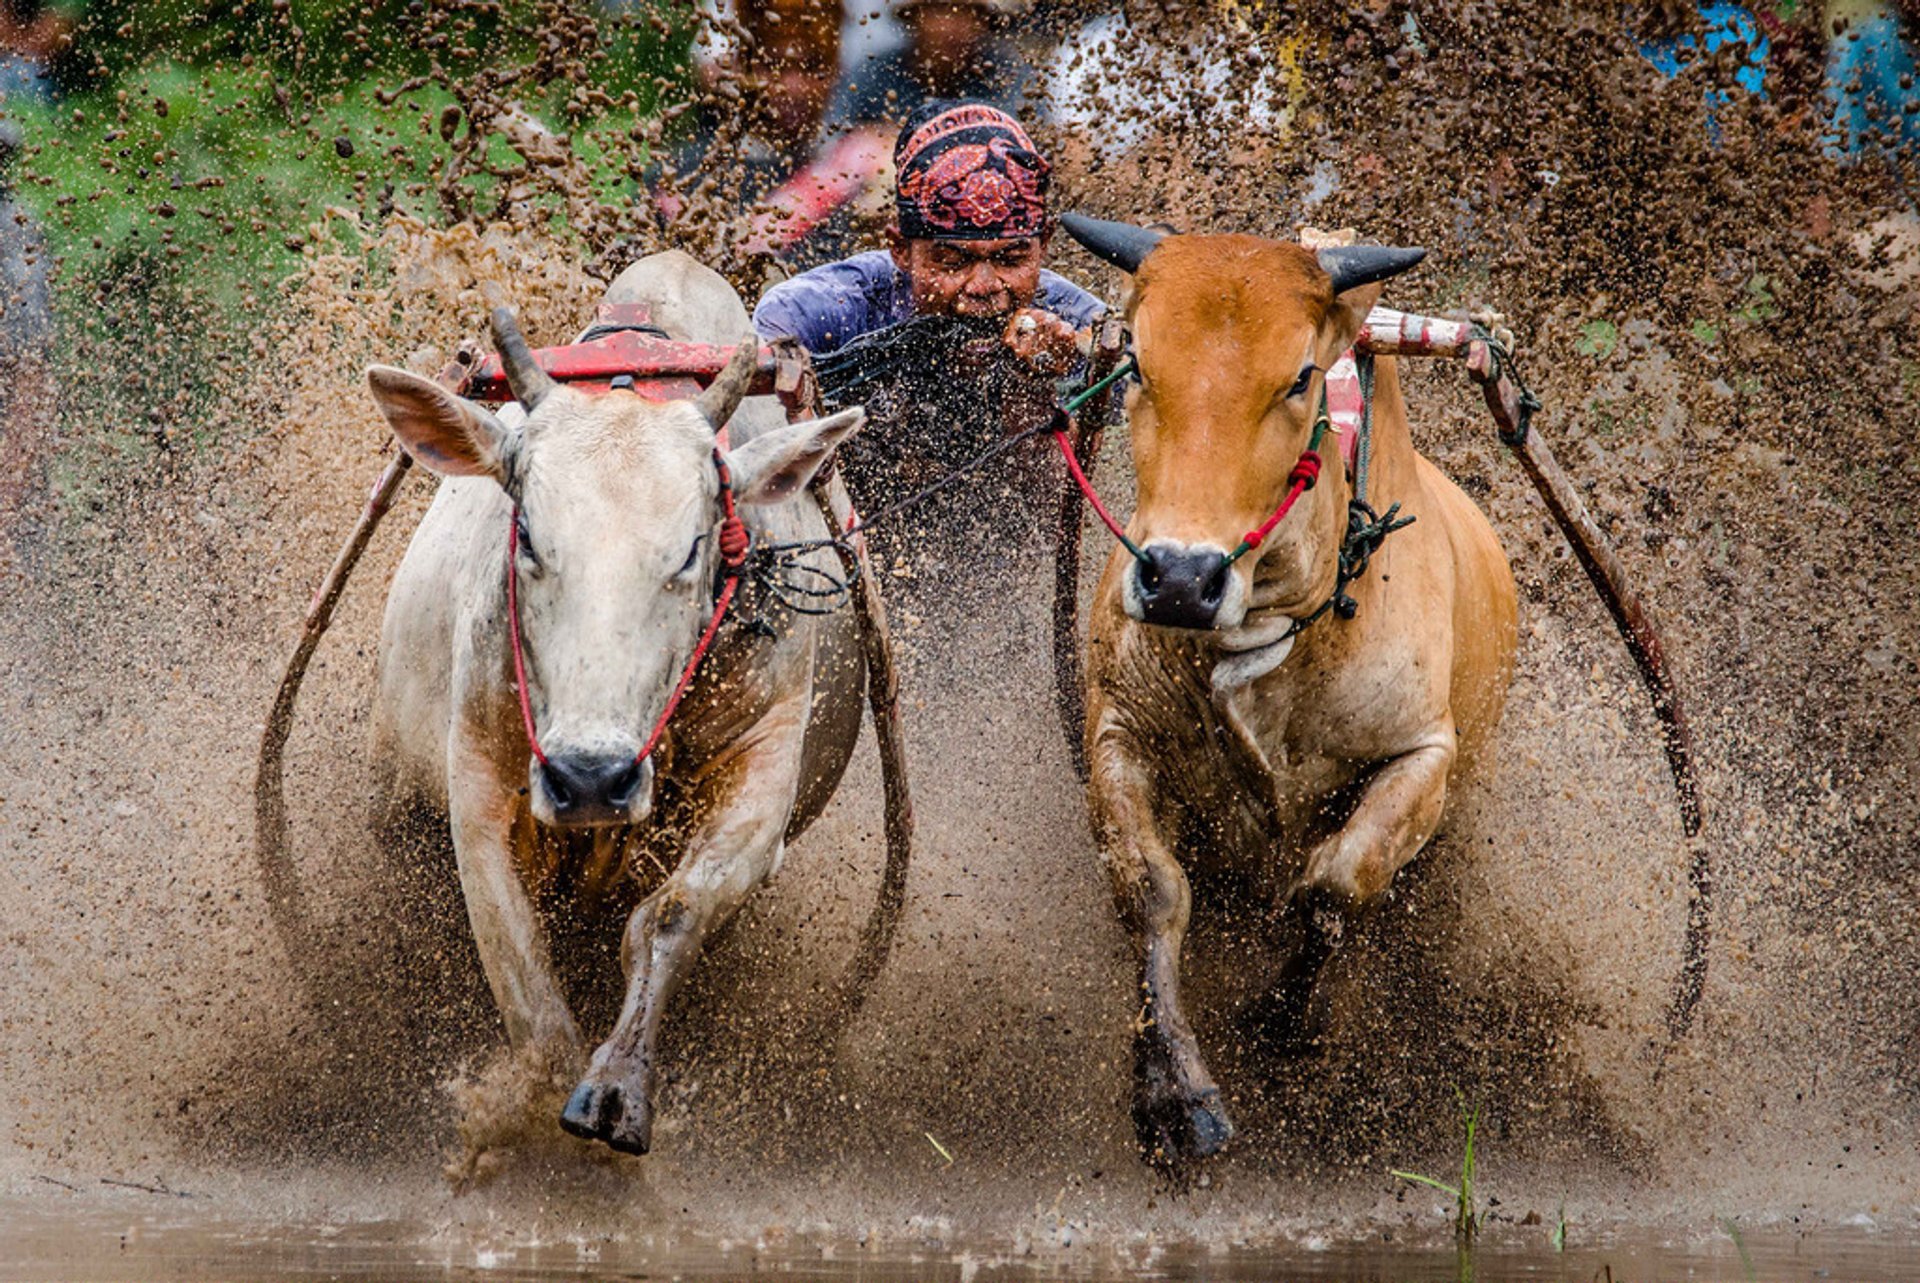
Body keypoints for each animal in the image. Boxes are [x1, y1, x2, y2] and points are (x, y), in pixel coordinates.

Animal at [360, 249, 871, 1152]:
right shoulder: (478, 786)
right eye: (528, 535)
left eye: (694, 549)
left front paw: (616, 1088)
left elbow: (670, 917)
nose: (591, 777)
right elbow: (523, 977)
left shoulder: (765, 769)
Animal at [1059, 215, 1520, 1167]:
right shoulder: (1118, 729)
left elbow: (1336, 881)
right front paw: (1173, 1090)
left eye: (1301, 376)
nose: (1181, 579)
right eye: (1137, 358)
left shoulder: (1423, 754)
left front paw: (1285, 1022)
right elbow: (1151, 888)